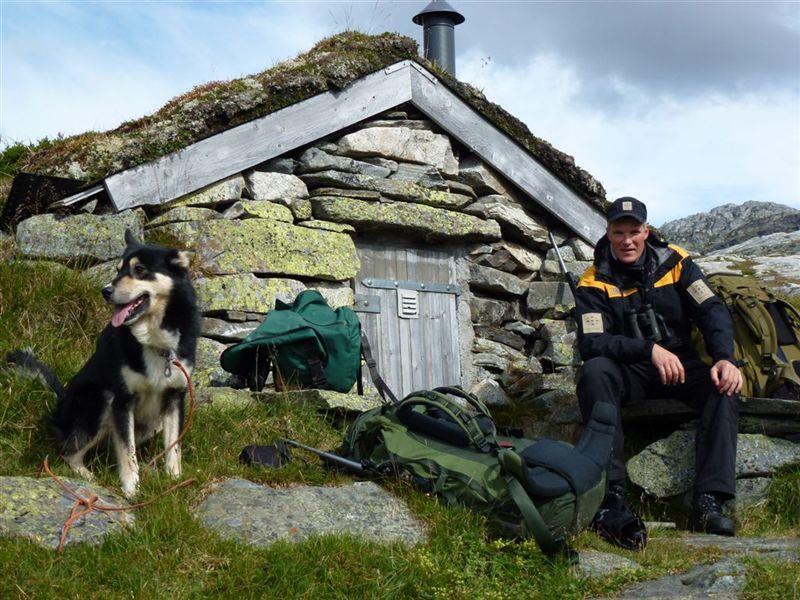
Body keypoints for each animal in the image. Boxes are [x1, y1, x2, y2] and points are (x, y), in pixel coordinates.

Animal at [7, 230, 200, 496]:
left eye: (139, 269)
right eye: (118, 270)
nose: (105, 291)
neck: (154, 339)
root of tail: (61, 400)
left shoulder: (175, 397)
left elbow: (173, 448)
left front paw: (174, 482)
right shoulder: (122, 399)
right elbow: (127, 452)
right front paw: (131, 489)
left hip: (153, 422)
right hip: (99, 399)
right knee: (70, 452)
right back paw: (89, 475)